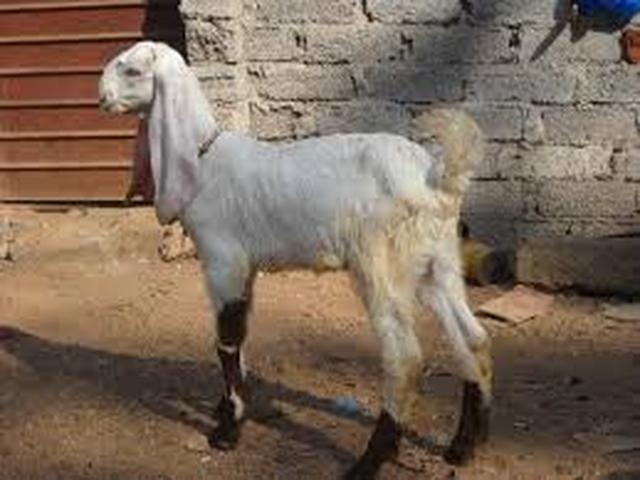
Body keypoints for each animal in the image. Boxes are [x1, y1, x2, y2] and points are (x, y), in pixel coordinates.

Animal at [99, 41, 492, 480]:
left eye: (133, 71)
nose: (101, 97)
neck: (205, 160)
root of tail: (437, 178)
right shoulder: (245, 268)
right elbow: (241, 335)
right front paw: (228, 407)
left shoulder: (223, 262)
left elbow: (226, 341)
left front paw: (228, 430)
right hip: (437, 263)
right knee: (472, 339)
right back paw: (464, 446)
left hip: (381, 262)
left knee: (404, 358)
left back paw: (370, 461)